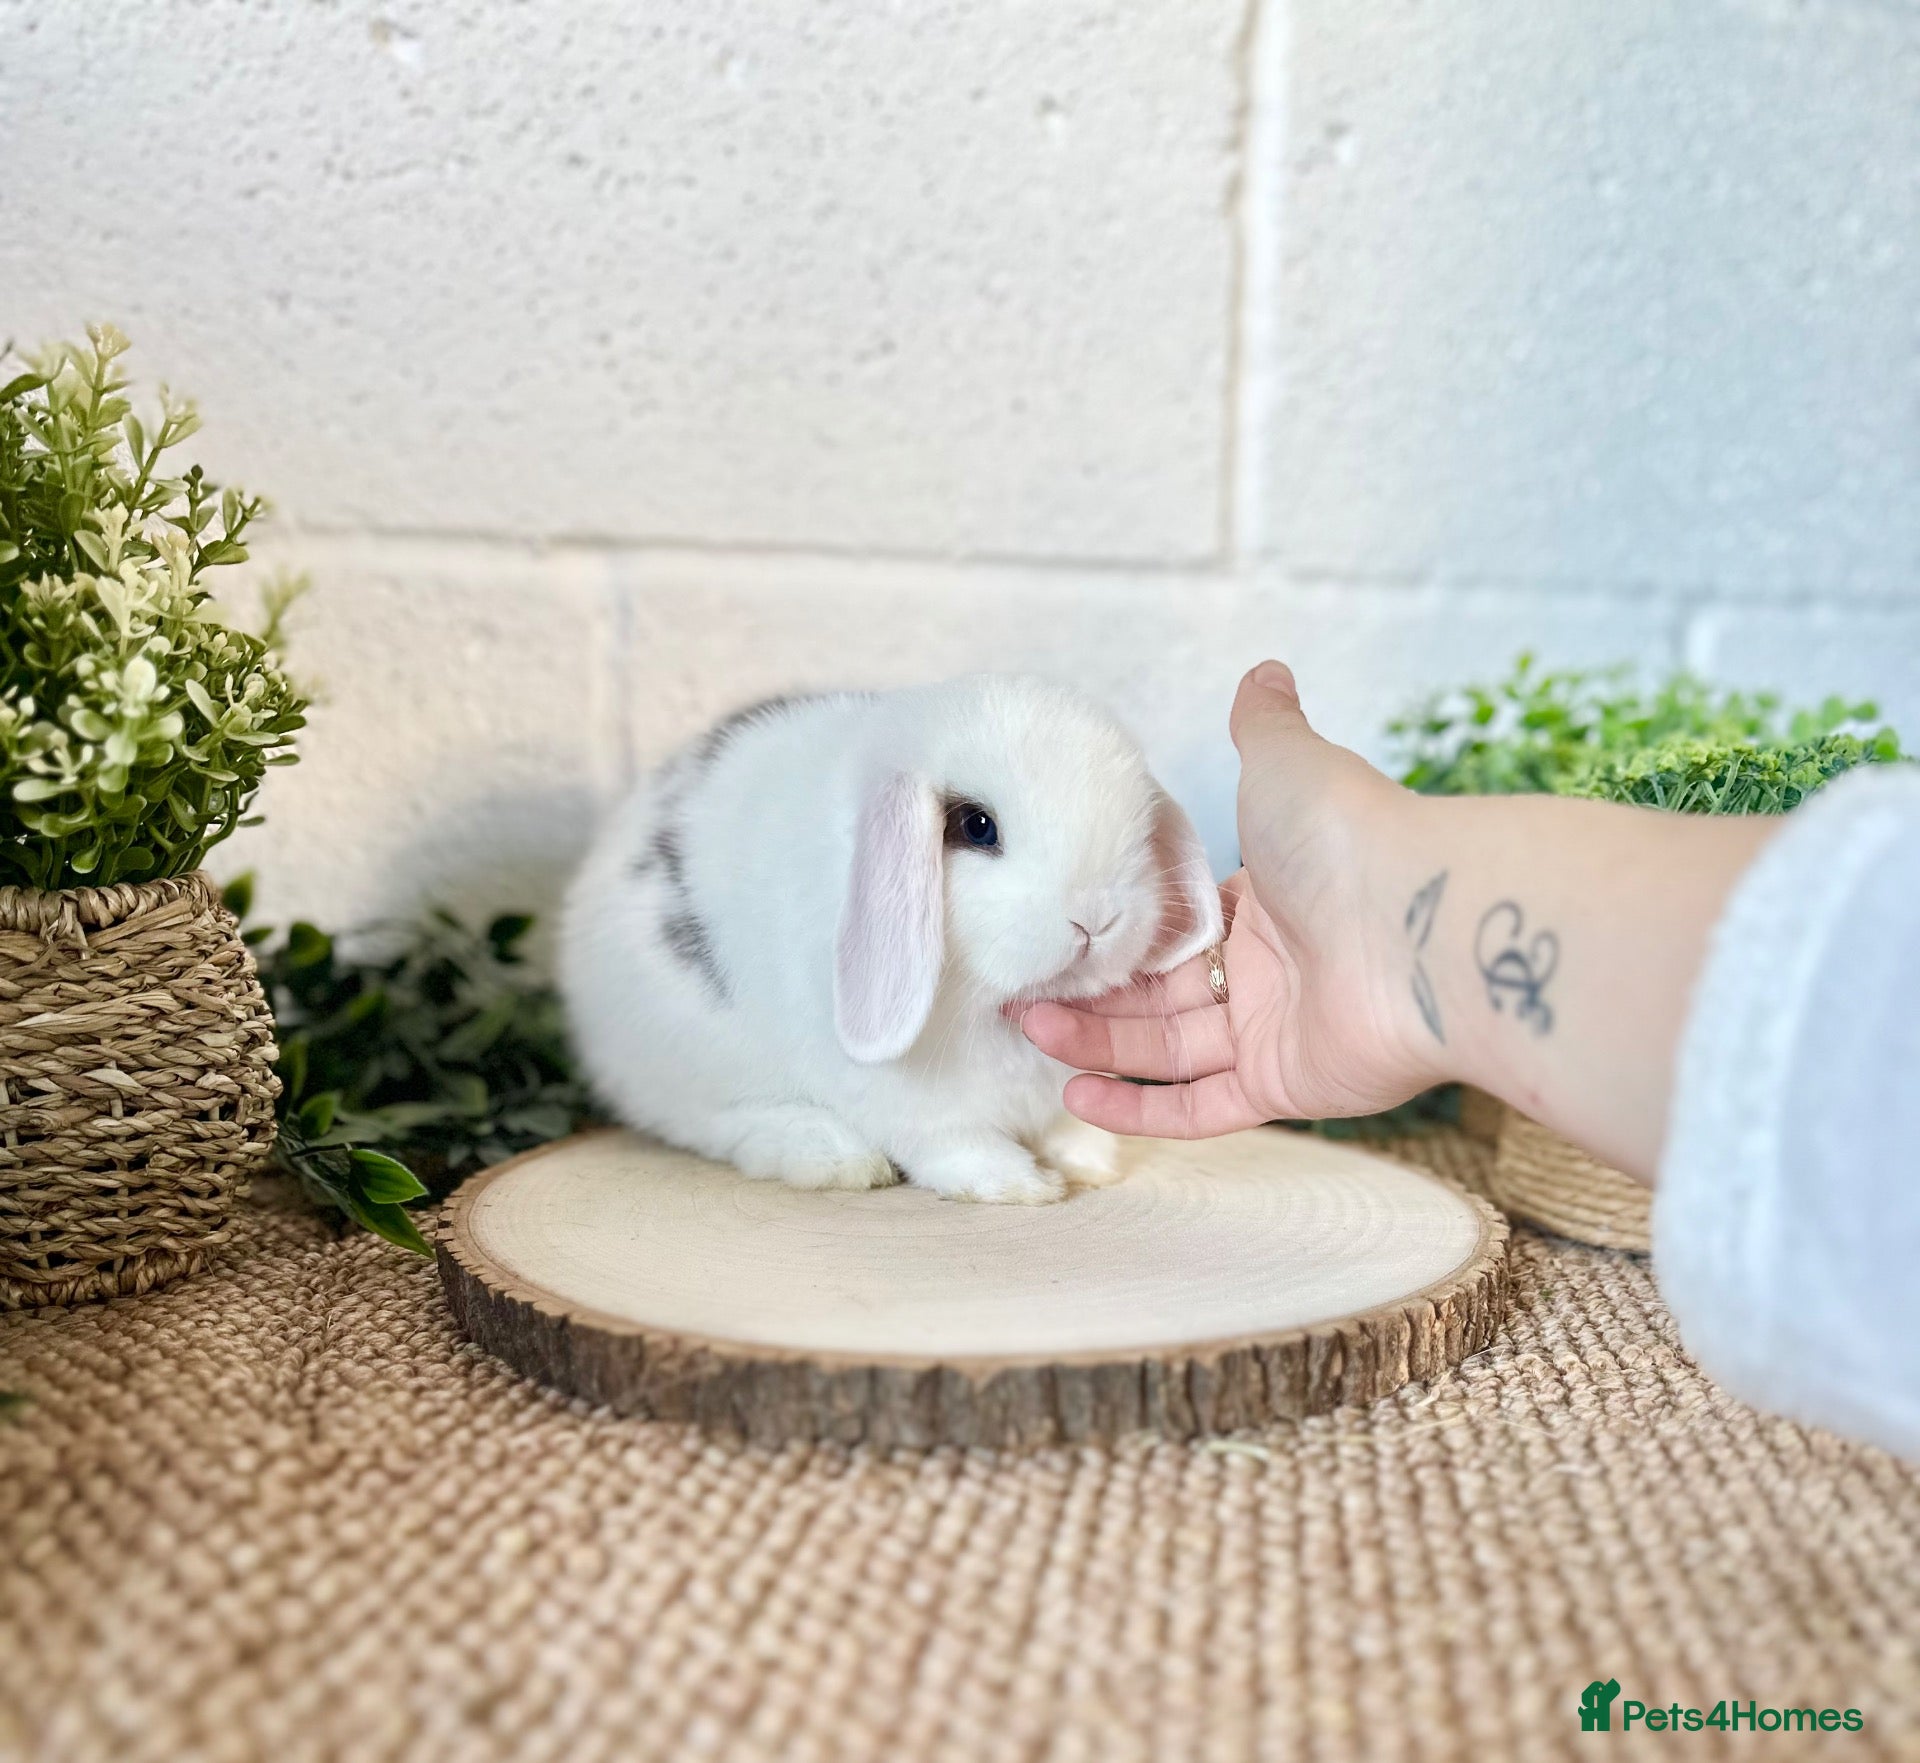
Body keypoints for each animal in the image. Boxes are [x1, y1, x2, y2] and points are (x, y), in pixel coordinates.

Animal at [558, 674, 1222, 1204]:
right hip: (690, 1055)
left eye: (1141, 828)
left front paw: (1089, 1163)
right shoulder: (910, 1100)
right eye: (976, 826)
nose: (1096, 919)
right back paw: (834, 1157)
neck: (987, 1006)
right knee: (716, 1121)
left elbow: (1069, 1125)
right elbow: (952, 1140)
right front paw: (1020, 1185)